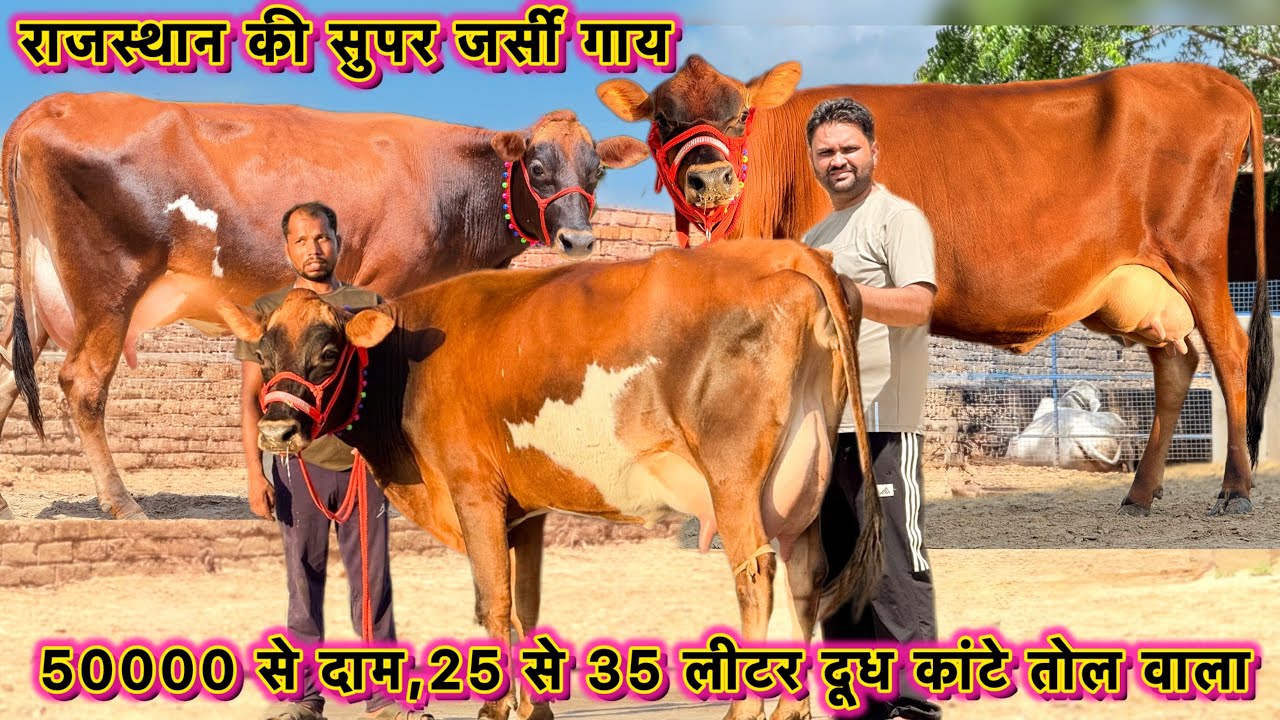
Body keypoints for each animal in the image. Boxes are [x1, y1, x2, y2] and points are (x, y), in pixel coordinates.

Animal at [0, 93, 648, 519]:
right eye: (537, 166)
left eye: (597, 171)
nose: (580, 240)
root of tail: (53, 105)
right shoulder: (387, 283)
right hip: (108, 290)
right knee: (82, 383)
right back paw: (122, 504)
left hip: (44, 286)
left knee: (11, 370)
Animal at [218, 236, 884, 720]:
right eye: (265, 357)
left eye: (328, 353)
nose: (274, 432)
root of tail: (786, 251)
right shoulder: (524, 509)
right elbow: (527, 608)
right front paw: (533, 709)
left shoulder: (473, 491)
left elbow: (493, 604)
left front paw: (493, 709)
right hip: (801, 482)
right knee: (805, 577)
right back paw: (792, 708)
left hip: (735, 482)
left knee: (756, 581)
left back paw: (744, 711)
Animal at [597, 55, 1272, 517]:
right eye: (663, 117)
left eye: (739, 113)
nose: (710, 178)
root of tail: (1215, 80)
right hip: (1139, 289)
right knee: (1176, 363)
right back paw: (1140, 492)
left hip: (1197, 257)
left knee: (1231, 351)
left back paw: (1235, 487)